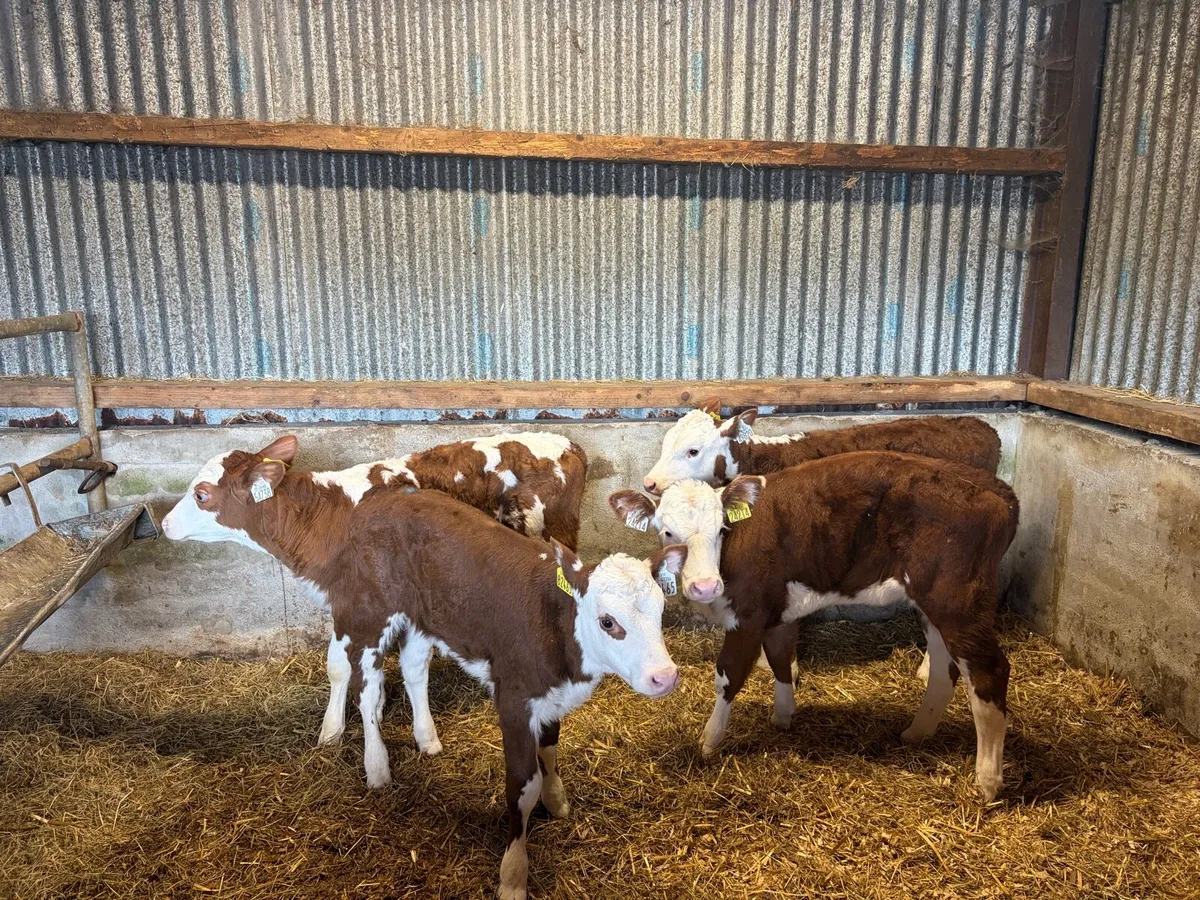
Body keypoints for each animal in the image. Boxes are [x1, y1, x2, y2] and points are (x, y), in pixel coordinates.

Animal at [162, 435, 685, 900]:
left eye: (201, 493)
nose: (164, 523)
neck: (327, 516)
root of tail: (568, 444)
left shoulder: (357, 606)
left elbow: (358, 679)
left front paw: (361, 751)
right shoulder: (382, 611)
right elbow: (378, 671)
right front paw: (393, 735)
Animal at [610, 451, 1020, 801]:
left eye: (722, 529)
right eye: (667, 533)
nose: (705, 586)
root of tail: (996, 488)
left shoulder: (749, 613)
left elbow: (728, 675)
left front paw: (710, 740)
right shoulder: (777, 612)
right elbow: (779, 659)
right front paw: (783, 716)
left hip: (957, 601)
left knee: (989, 672)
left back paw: (987, 782)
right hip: (932, 603)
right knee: (943, 667)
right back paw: (917, 733)